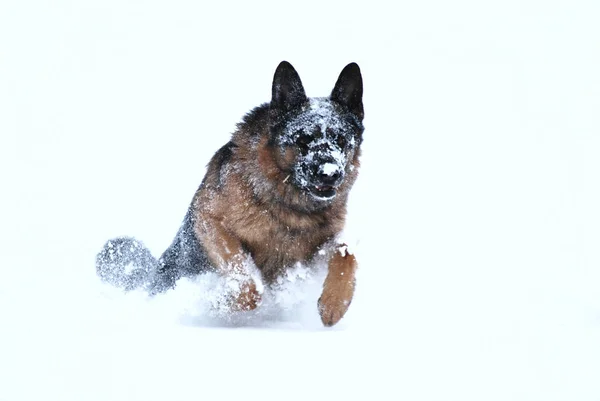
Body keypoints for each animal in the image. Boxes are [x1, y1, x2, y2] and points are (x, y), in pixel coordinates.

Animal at [96, 61, 364, 324]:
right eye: (303, 140)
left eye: (341, 140)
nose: (329, 174)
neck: (288, 207)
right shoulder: (210, 221)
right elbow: (247, 282)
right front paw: (220, 303)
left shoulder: (322, 245)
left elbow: (347, 254)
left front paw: (334, 304)